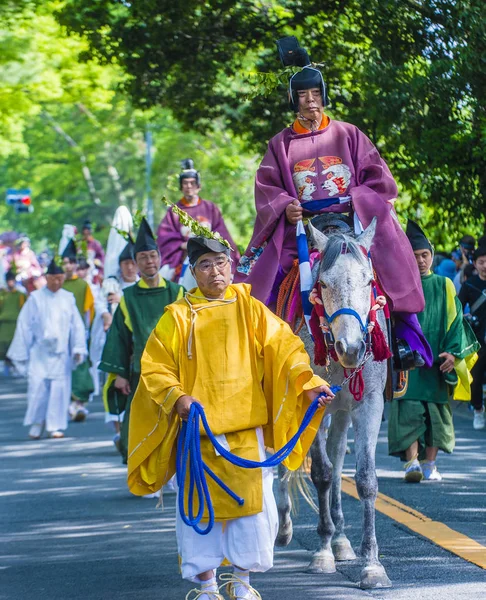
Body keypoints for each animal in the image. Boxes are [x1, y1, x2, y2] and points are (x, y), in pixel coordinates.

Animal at [278, 217, 392, 592]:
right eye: (324, 284)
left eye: (369, 281)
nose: (351, 347)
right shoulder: (311, 404)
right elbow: (322, 474)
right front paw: (323, 551)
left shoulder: (368, 403)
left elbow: (365, 478)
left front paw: (372, 565)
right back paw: (286, 527)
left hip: (342, 409)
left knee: (339, 453)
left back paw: (342, 540)